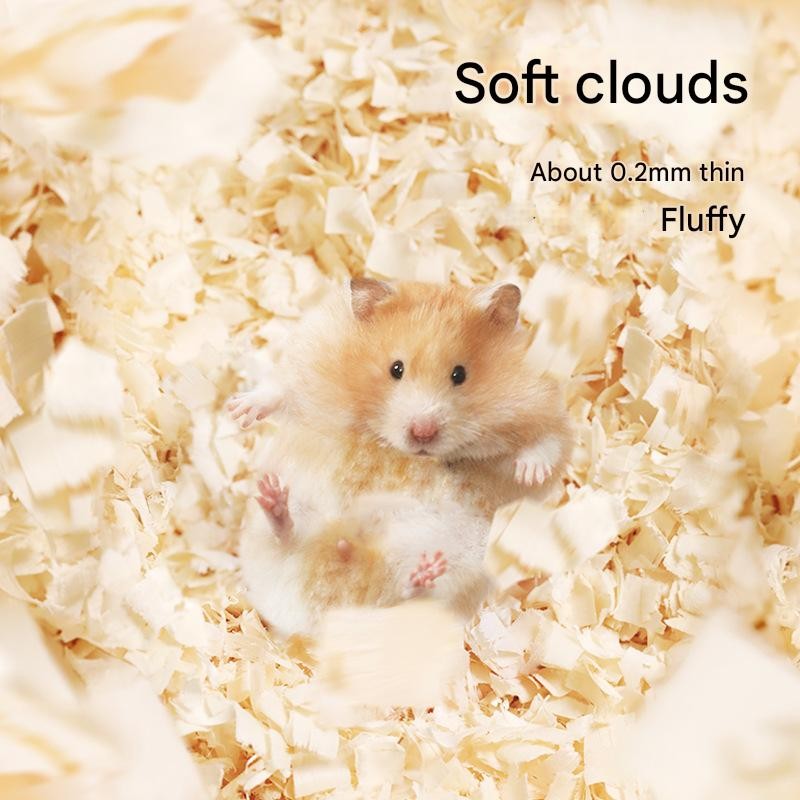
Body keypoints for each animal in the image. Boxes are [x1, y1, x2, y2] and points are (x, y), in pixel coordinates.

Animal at [231, 278, 572, 637]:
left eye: (460, 374)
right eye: (396, 369)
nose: (422, 433)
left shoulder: (545, 408)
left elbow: (545, 442)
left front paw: (529, 472)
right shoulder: (310, 360)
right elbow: (280, 390)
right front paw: (239, 411)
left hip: (454, 566)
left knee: (406, 594)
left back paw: (420, 575)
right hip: (284, 529)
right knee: (286, 537)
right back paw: (274, 499)